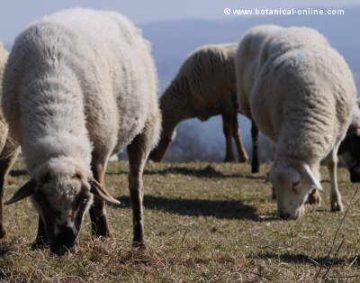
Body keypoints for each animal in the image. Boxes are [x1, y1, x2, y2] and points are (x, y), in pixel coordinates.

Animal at [2, 8, 160, 255]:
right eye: (42, 200)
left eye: (83, 199)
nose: (63, 245)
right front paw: (40, 241)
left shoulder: (102, 145)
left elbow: (100, 195)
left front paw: (104, 234)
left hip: (146, 126)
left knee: (136, 185)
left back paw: (138, 241)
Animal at [236, 26, 358, 220]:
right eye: (276, 183)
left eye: (295, 183)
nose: (285, 215)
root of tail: (296, 28)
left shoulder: (338, 134)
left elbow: (331, 163)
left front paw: (335, 202)